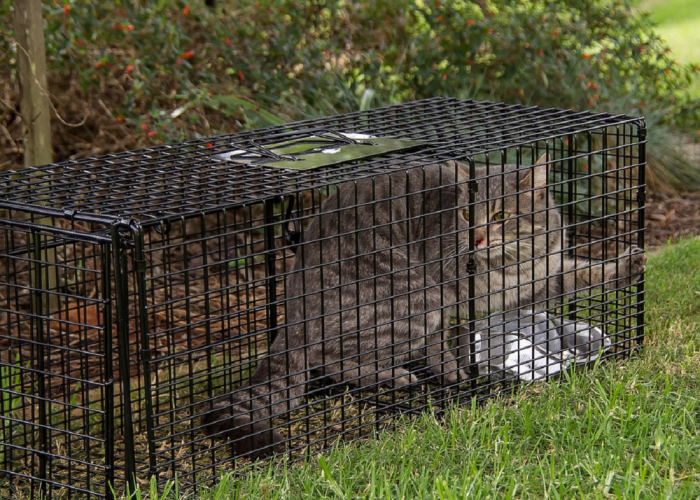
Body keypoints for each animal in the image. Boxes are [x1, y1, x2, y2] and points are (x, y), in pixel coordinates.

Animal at [201, 155, 644, 458]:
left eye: (501, 214)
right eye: (466, 214)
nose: (477, 237)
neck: (512, 263)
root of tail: (292, 304)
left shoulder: (539, 280)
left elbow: (583, 273)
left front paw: (626, 266)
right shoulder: (443, 296)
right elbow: (438, 347)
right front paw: (455, 373)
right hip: (411, 296)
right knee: (330, 357)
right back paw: (394, 376)